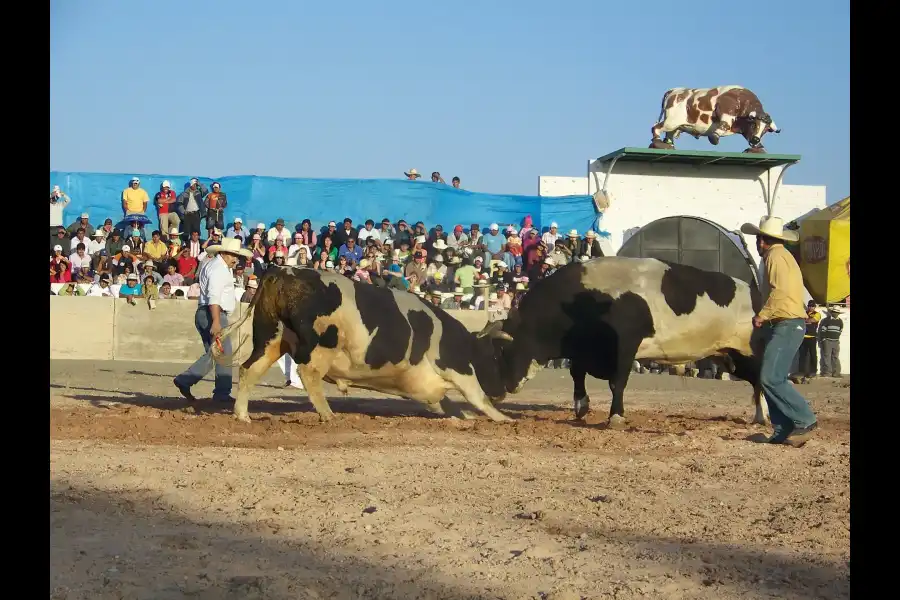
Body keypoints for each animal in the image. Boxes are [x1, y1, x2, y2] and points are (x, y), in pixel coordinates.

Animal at [207, 264, 510, 424]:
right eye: (495, 357)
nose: (504, 390)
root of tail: (283, 271)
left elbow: (449, 405)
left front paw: (464, 418)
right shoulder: (460, 370)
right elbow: (477, 397)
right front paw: (503, 418)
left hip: (271, 339)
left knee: (249, 370)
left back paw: (243, 415)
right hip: (321, 346)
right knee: (308, 373)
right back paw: (328, 414)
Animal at [482, 256, 768, 426]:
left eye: (502, 351)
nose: (498, 390)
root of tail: (754, 292)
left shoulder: (625, 345)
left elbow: (617, 382)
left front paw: (616, 415)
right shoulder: (582, 351)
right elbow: (577, 374)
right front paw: (581, 406)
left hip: (748, 352)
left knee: (761, 380)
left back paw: (763, 417)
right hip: (730, 356)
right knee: (756, 381)